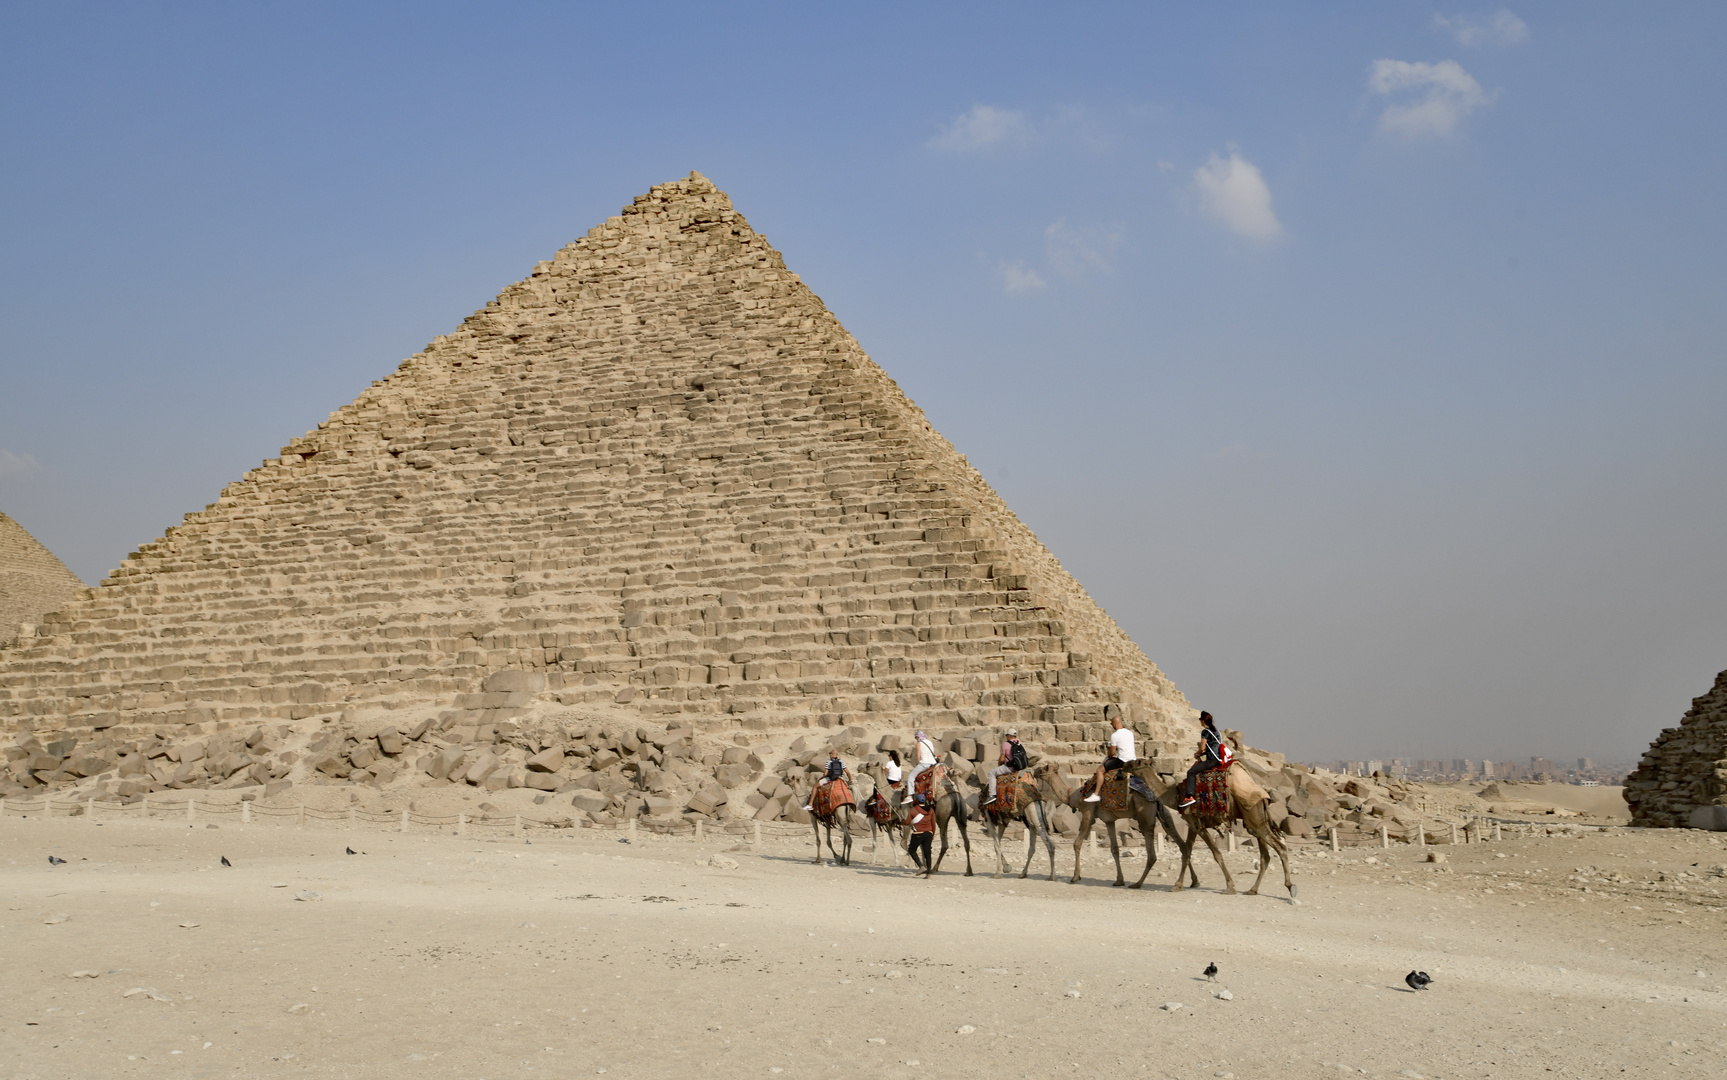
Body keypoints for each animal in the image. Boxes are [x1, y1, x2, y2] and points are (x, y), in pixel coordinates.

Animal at [1056, 756, 1195, 884]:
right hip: (1162, 814)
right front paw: (1119, 880)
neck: (1075, 796)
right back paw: (1192, 881)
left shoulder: (1087, 813)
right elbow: (1114, 848)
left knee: (1153, 852)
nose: (1125, 767)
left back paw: (1140, 883)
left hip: (1145, 817)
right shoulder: (1108, 820)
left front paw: (1075, 877)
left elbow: (1077, 843)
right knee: (1180, 842)